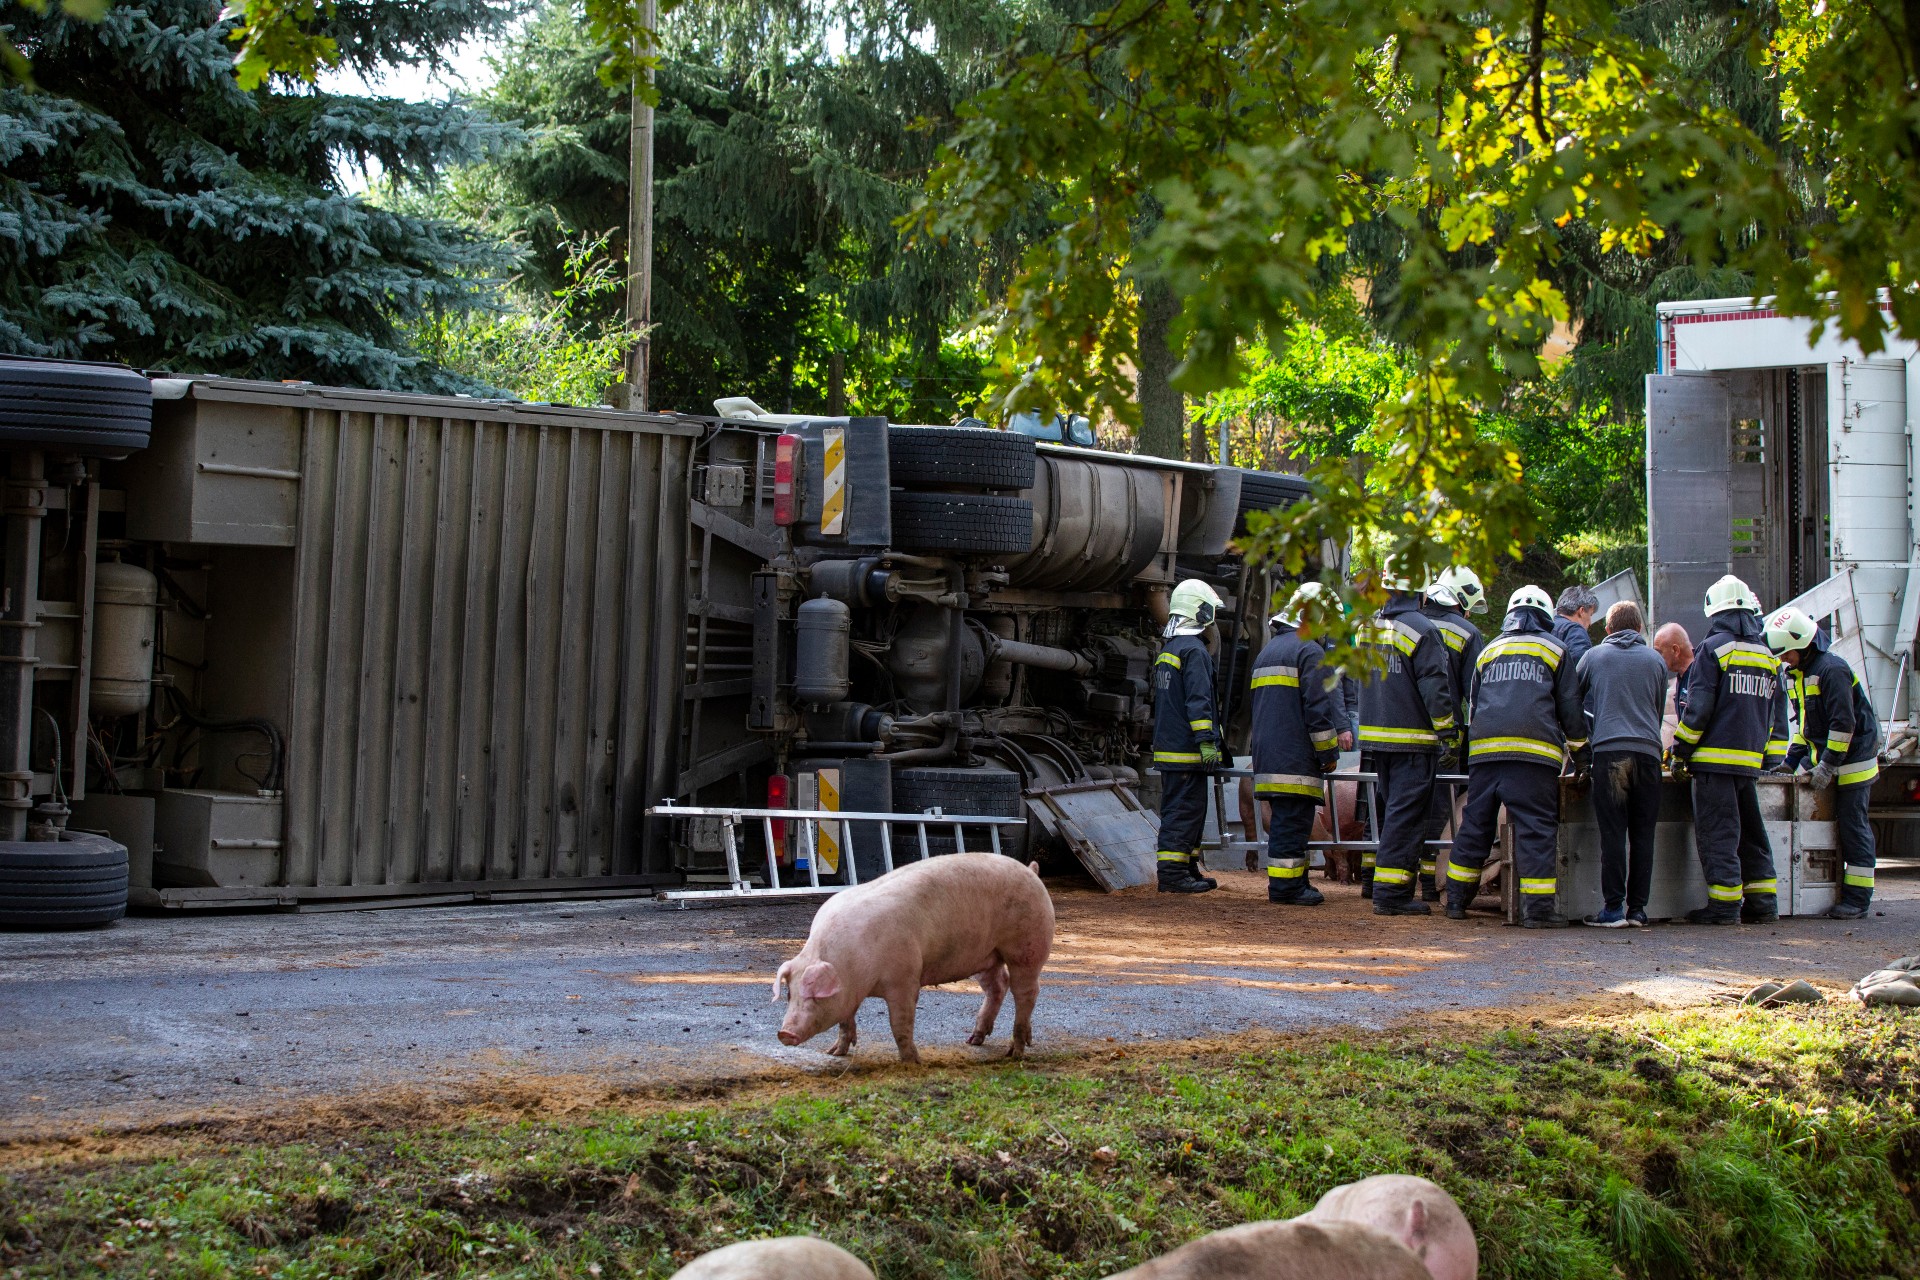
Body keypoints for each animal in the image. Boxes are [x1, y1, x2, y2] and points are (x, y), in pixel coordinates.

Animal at [771, 855, 1059, 1066]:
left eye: (815, 995)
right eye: (790, 994)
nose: (784, 1033)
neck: (853, 967)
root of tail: (1031, 871)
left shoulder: (905, 978)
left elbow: (900, 1024)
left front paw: (914, 1062)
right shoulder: (851, 993)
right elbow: (845, 1020)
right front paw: (834, 1053)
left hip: (1027, 947)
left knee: (1027, 990)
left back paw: (1015, 1052)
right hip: (987, 955)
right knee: (998, 985)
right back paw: (974, 1040)